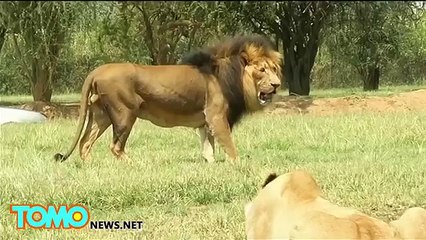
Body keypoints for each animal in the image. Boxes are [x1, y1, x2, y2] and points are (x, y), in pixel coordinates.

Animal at [55, 34, 284, 163]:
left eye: (274, 70)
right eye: (262, 70)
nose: (277, 85)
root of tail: (97, 70)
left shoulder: (205, 122)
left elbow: (208, 148)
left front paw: (210, 165)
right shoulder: (216, 116)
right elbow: (229, 145)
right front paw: (238, 165)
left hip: (101, 115)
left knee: (85, 142)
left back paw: (90, 166)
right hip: (124, 113)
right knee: (115, 146)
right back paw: (135, 165)